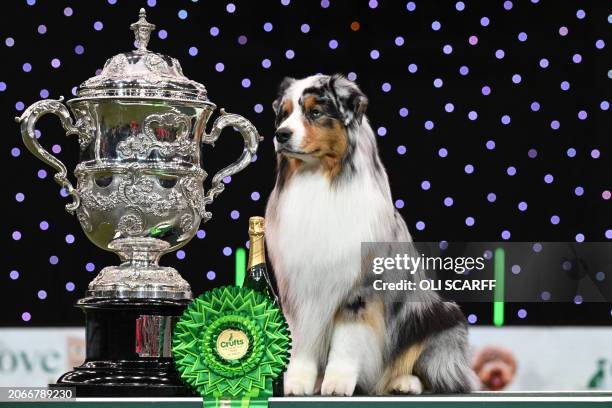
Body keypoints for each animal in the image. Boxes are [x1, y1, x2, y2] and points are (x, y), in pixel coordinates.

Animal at [262, 74, 478, 396]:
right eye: (284, 114)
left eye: (315, 112)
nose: (280, 134)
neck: (320, 179)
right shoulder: (297, 285)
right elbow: (302, 338)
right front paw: (297, 382)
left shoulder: (359, 287)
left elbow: (347, 339)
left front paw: (337, 383)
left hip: (442, 317)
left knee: (438, 373)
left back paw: (404, 382)